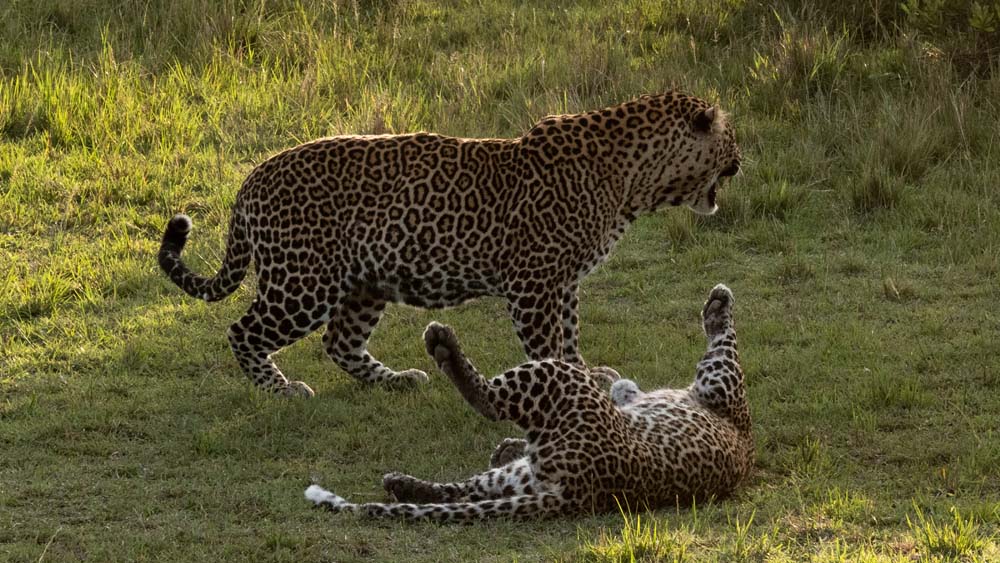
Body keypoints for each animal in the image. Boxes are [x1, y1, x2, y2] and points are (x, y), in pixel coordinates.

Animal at [158, 92, 741, 397]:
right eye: (731, 141)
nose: (742, 160)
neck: (635, 180)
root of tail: (251, 180)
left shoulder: (563, 283)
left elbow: (570, 335)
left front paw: (585, 373)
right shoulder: (534, 283)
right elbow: (548, 344)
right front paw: (567, 388)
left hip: (365, 282)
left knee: (340, 342)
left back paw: (396, 380)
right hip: (303, 283)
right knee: (243, 331)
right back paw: (281, 390)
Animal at [304, 283, 753, 521]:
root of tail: (586, 492)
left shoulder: (723, 386)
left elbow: (725, 340)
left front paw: (719, 305)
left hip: (557, 379)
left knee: (489, 402)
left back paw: (445, 347)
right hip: (517, 476)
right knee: (461, 491)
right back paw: (402, 483)